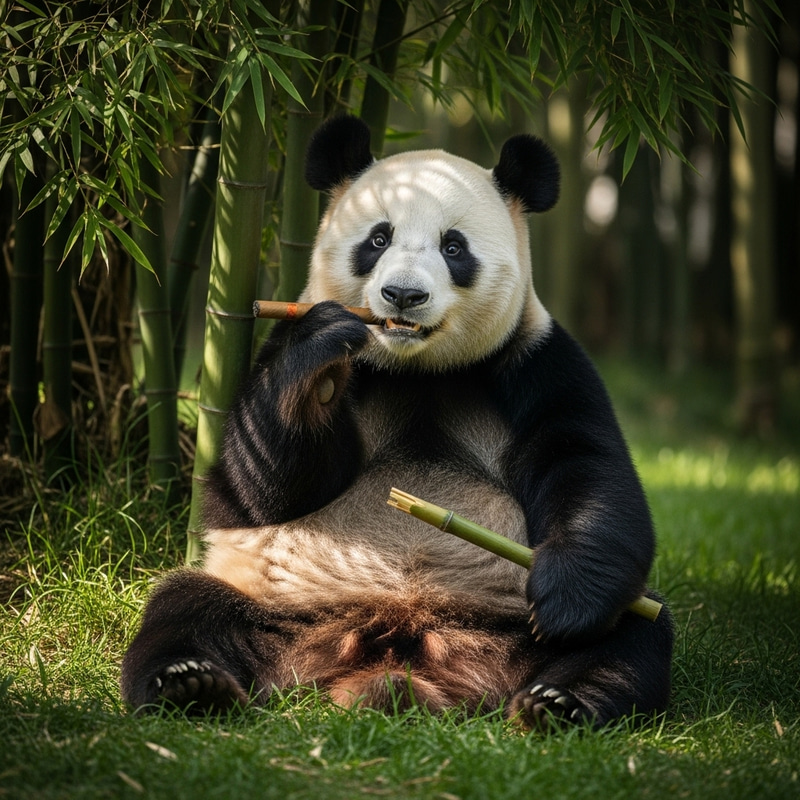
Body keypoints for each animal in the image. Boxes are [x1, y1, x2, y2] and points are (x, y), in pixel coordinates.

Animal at [121, 115, 673, 729]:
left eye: (453, 247)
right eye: (378, 239)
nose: (403, 295)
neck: (415, 369)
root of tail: (391, 647)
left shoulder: (535, 362)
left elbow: (587, 466)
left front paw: (566, 602)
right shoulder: (283, 347)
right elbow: (261, 486)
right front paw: (318, 370)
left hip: (508, 618)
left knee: (630, 639)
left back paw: (559, 703)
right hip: (270, 604)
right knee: (183, 610)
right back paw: (190, 685)